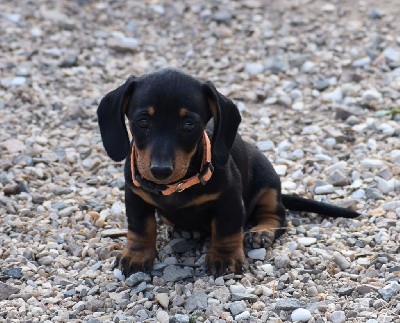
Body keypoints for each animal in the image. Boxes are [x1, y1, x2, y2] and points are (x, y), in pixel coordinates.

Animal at [97, 68, 360, 276]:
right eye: (142, 122)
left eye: (189, 124)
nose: (160, 171)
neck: (177, 186)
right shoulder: (135, 196)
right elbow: (141, 227)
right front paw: (136, 255)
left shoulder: (230, 199)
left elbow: (226, 228)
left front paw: (226, 258)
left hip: (268, 182)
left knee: (277, 215)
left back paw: (261, 232)